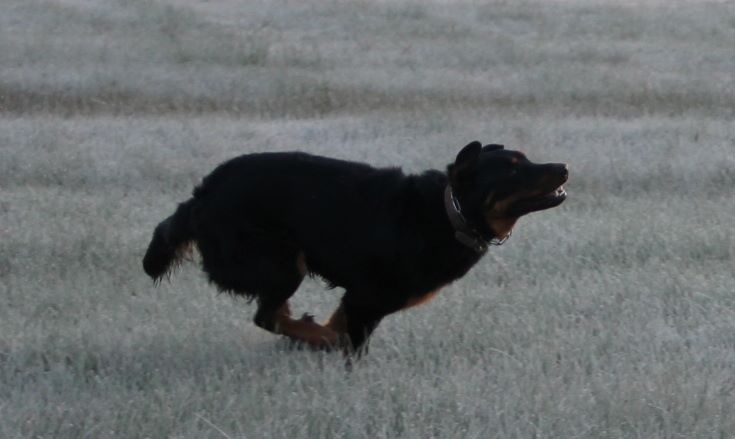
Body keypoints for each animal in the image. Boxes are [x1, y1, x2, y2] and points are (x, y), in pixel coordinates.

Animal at [143, 141, 568, 354]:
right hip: (282, 262)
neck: (450, 214)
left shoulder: (360, 300)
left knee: (275, 314)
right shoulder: (369, 297)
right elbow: (351, 344)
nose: (564, 167)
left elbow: (342, 324)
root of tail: (201, 197)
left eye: (527, 159)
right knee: (268, 316)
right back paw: (314, 336)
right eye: (513, 168)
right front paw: (332, 350)